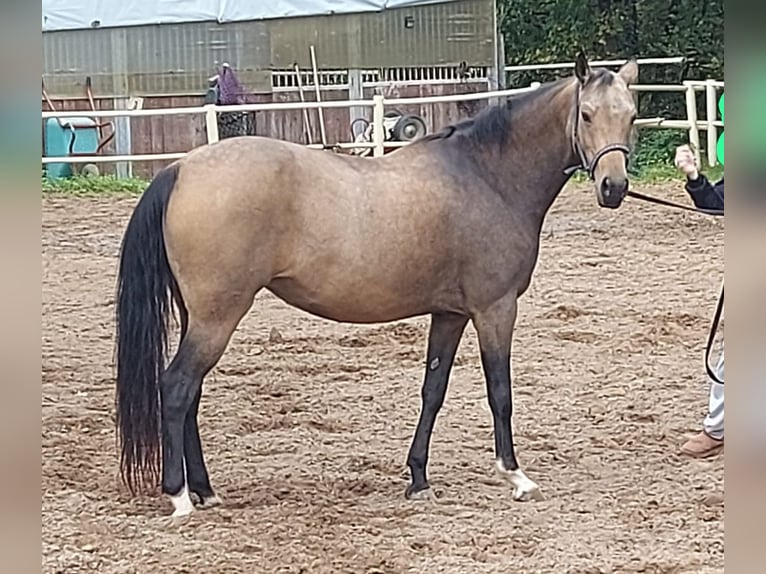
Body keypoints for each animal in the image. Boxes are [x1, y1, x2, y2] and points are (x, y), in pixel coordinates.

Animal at [115, 52, 638, 520]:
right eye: (586, 114)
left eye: (631, 115)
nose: (613, 188)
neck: (487, 176)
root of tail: (180, 168)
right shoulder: (495, 309)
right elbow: (500, 392)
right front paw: (516, 476)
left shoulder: (450, 314)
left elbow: (433, 391)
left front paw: (418, 478)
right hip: (218, 317)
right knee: (177, 387)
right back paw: (180, 497)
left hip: (201, 318)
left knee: (192, 394)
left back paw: (205, 490)